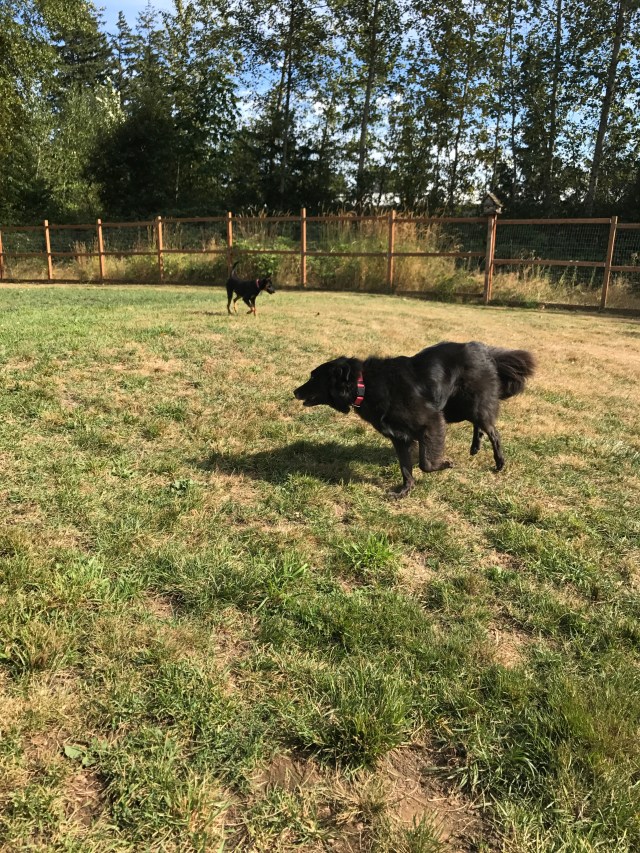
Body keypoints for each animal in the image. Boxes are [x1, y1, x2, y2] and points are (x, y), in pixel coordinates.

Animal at [294, 341, 535, 497]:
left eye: (314, 377)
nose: (294, 392)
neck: (365, 385)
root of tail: (485, 351)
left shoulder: (431, 423)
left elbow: (425, 463)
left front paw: (445, 463)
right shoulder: (399, 437)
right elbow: (406, 467)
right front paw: (405, 491)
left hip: (470, 405)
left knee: (492, 430)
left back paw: (499, 462)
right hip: (456, 408)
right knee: (479, 424)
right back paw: (475, 447)